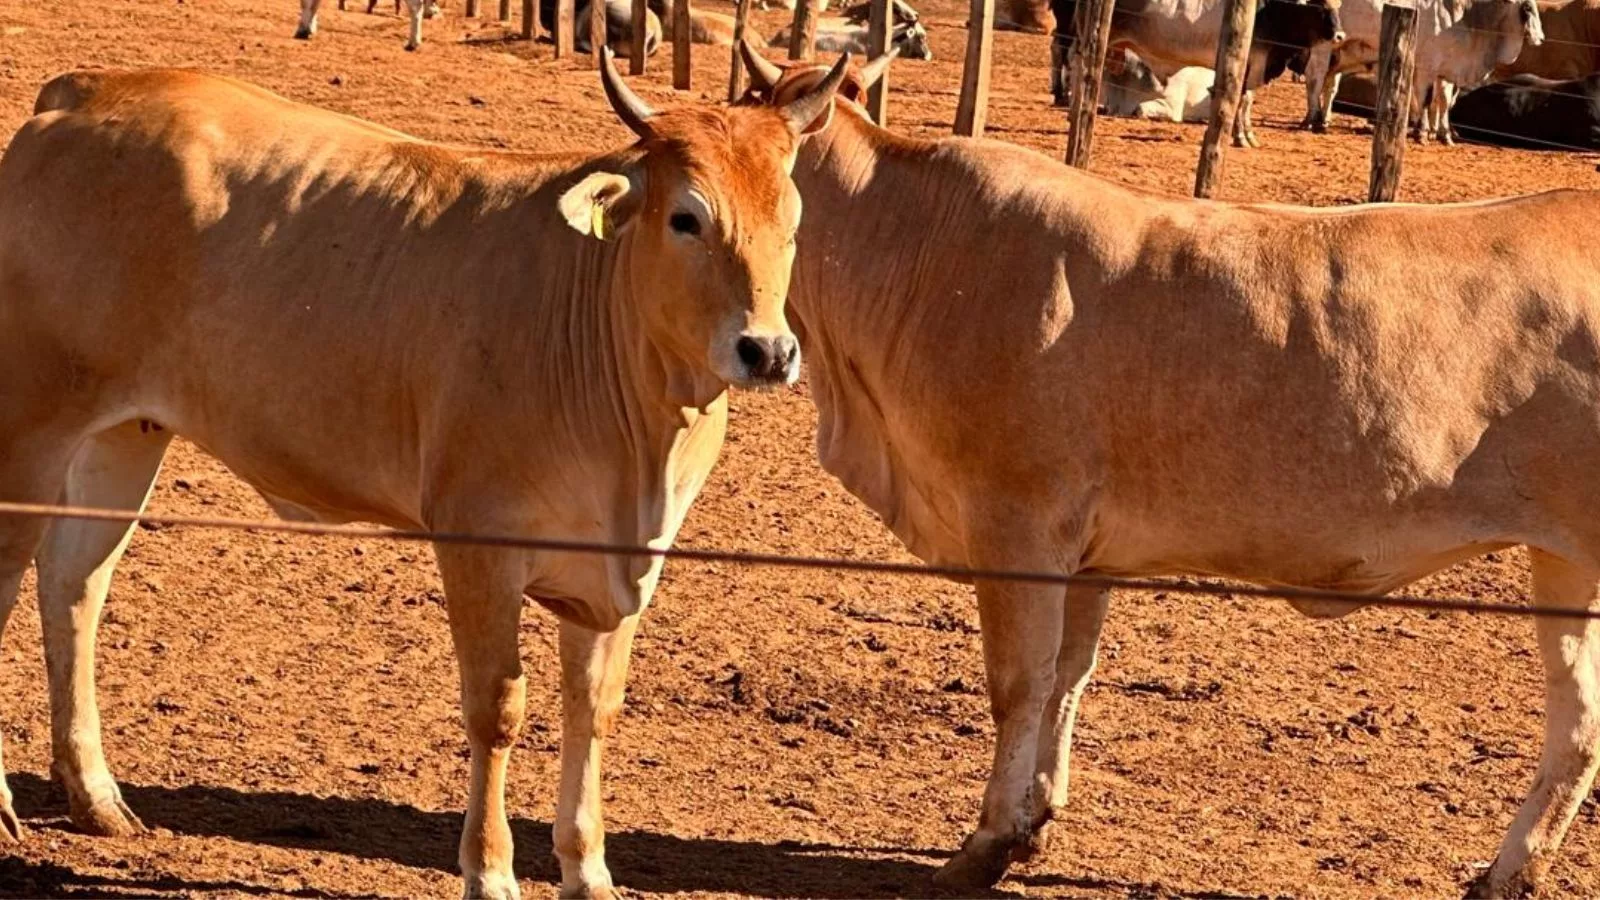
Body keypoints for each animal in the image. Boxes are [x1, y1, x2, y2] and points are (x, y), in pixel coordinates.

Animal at [0, 54, 857, 896]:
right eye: (687, 218)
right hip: (32, 424)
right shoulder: (476, 543)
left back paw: (96, 797)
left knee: (73, 584)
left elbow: (593, 707)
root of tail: (83, 93)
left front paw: (588, 869)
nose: (767, 351)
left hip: (123, 435)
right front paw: (490, 870)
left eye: (792, 222)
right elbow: (497, 709)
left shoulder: (620, 567)